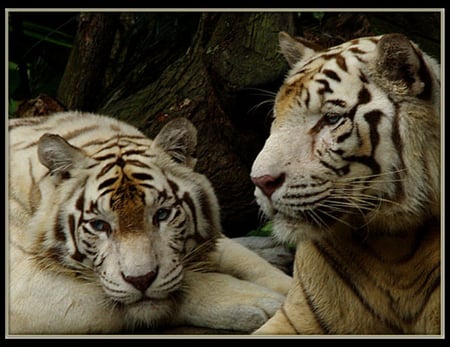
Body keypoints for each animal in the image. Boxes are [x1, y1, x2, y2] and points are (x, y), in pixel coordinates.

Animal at [8, 113, 294, 336]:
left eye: (162, 214)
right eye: (100, 225)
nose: (141, 280)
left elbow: (246, 261)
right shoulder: (27, 286)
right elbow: (186, 284)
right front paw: (260, 302)